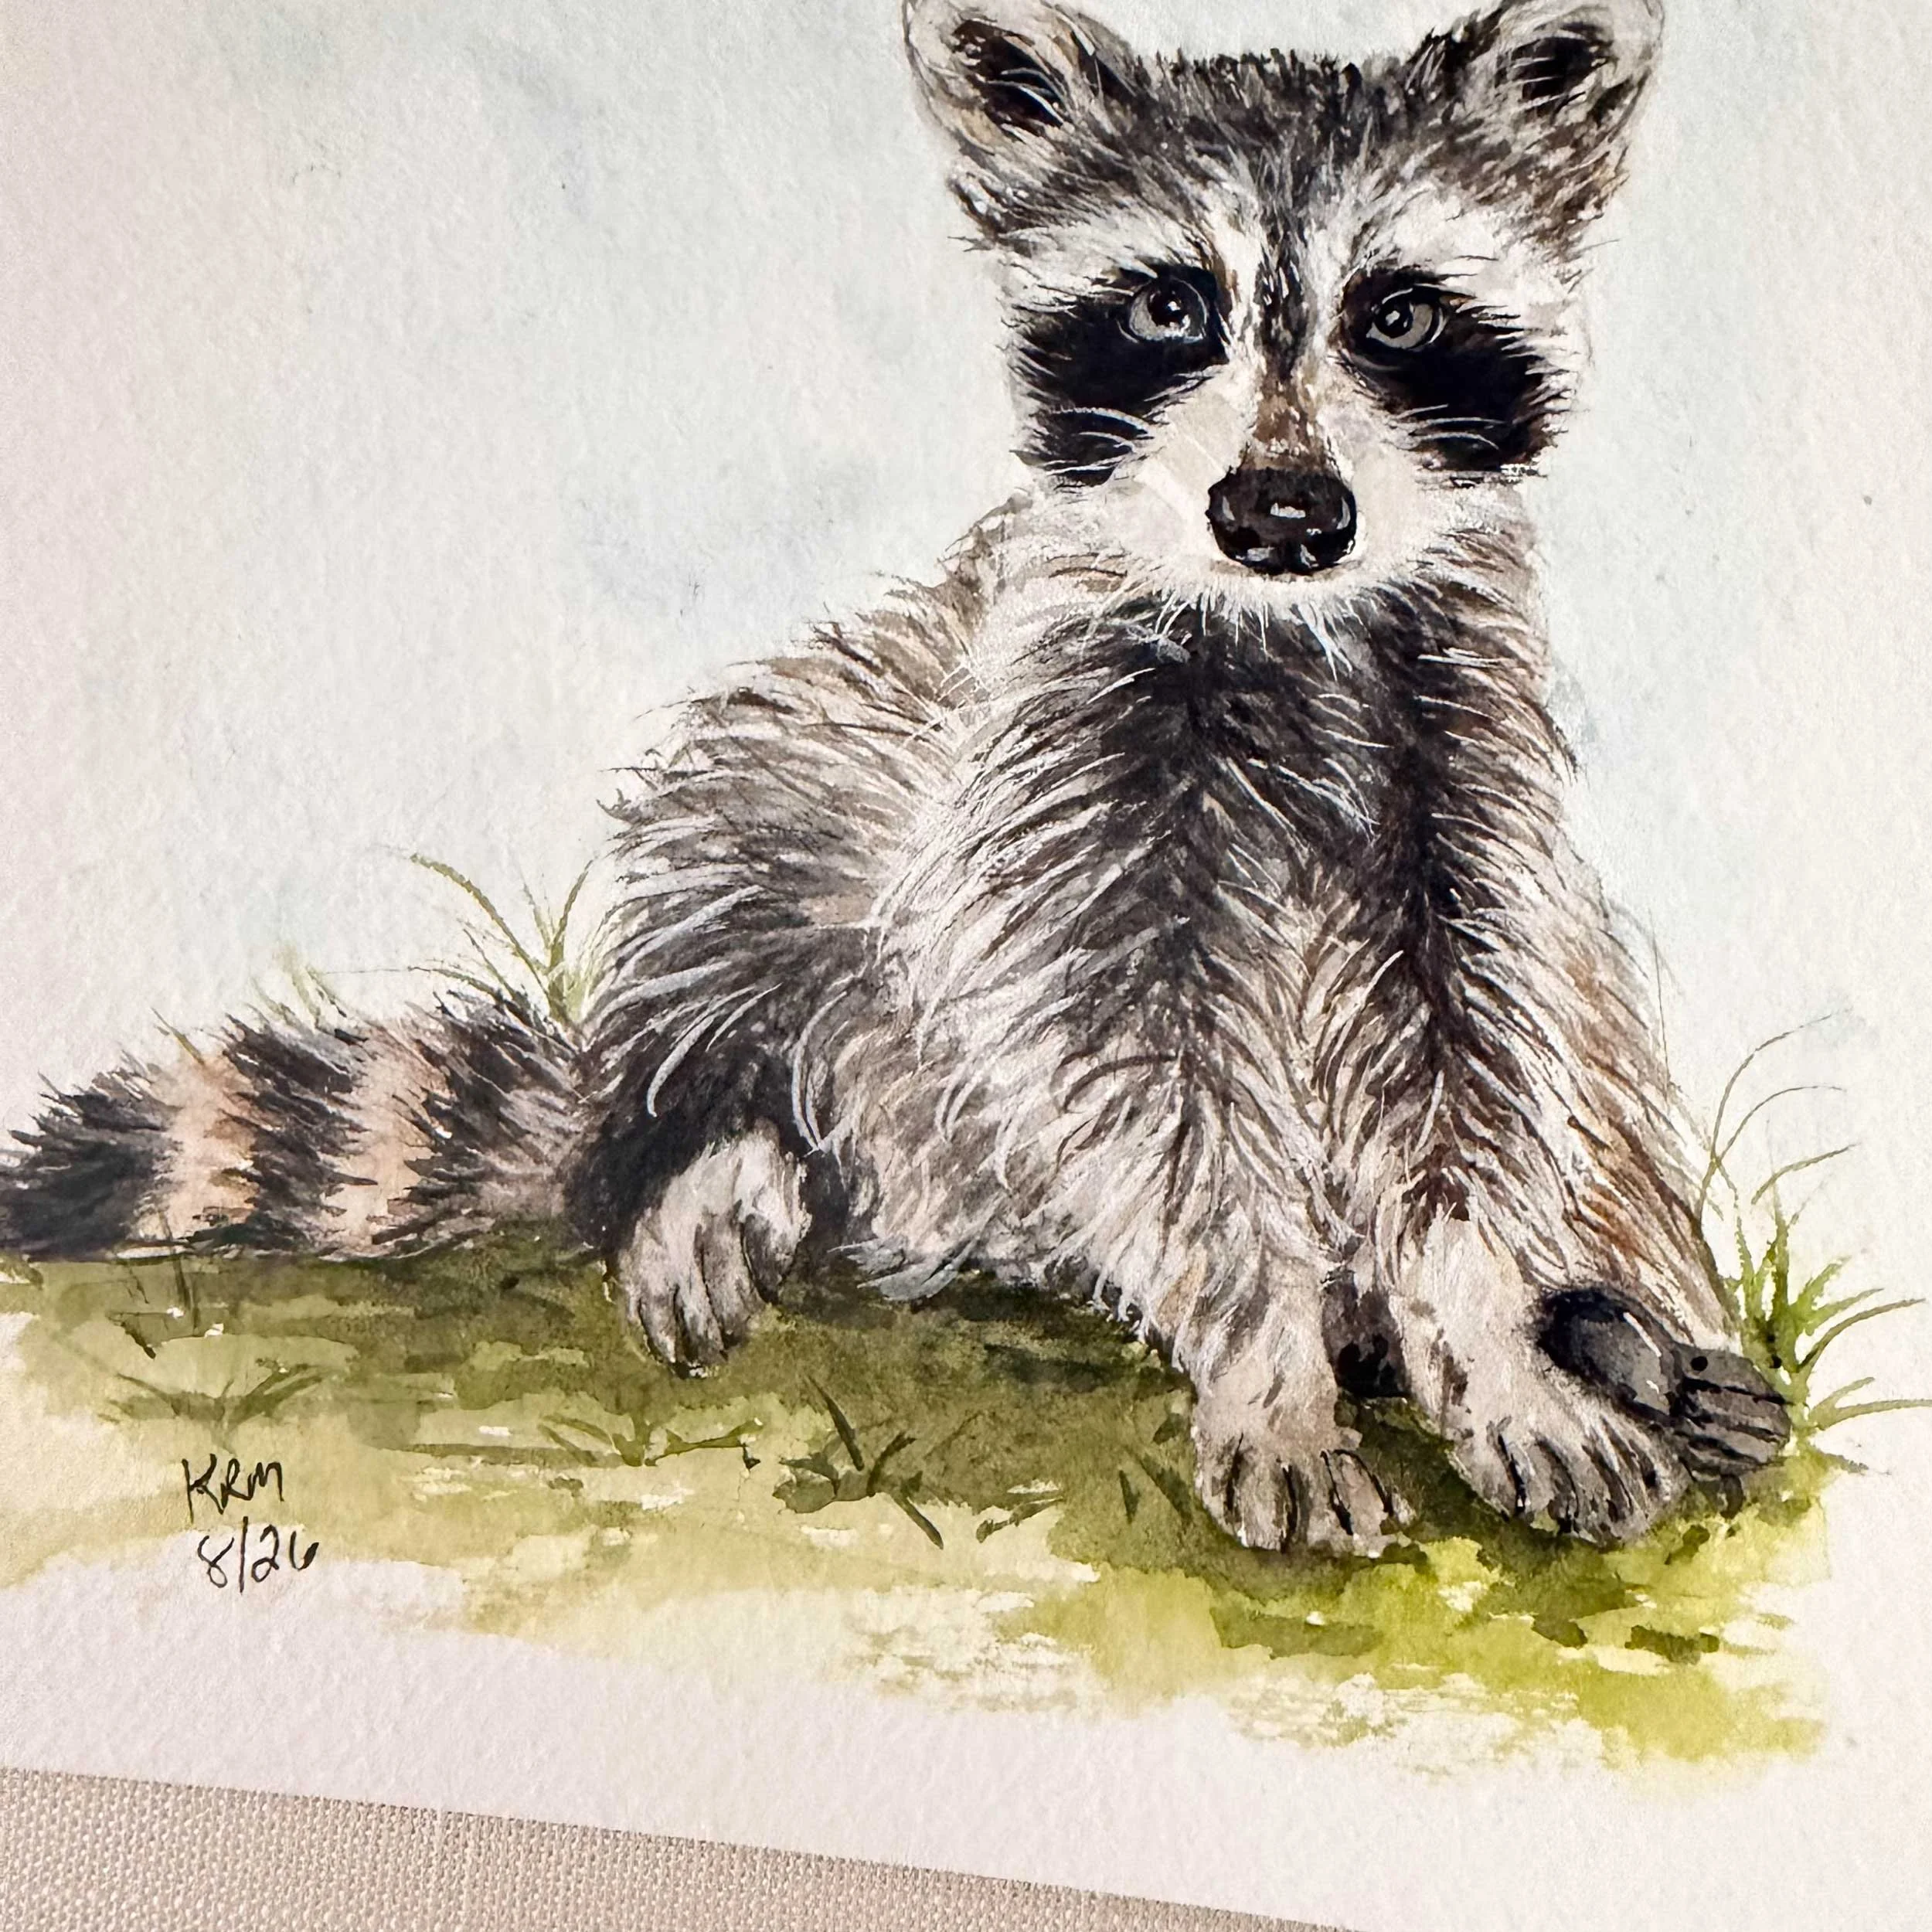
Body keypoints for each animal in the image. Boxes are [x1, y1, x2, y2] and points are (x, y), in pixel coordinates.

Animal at [0, 0, 1790, 1553]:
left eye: (1400, 314)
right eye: (1169, 307)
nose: (1280, 511)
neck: (1289, 629)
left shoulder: (1460, 774)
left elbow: (1478, 1057)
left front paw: (1489, 1332)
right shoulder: (1050, 764)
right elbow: (1142, 1079)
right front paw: (1266, 1355)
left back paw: (1626, 1329)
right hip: (810, 801)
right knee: (742, 873)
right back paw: (714, 1151)